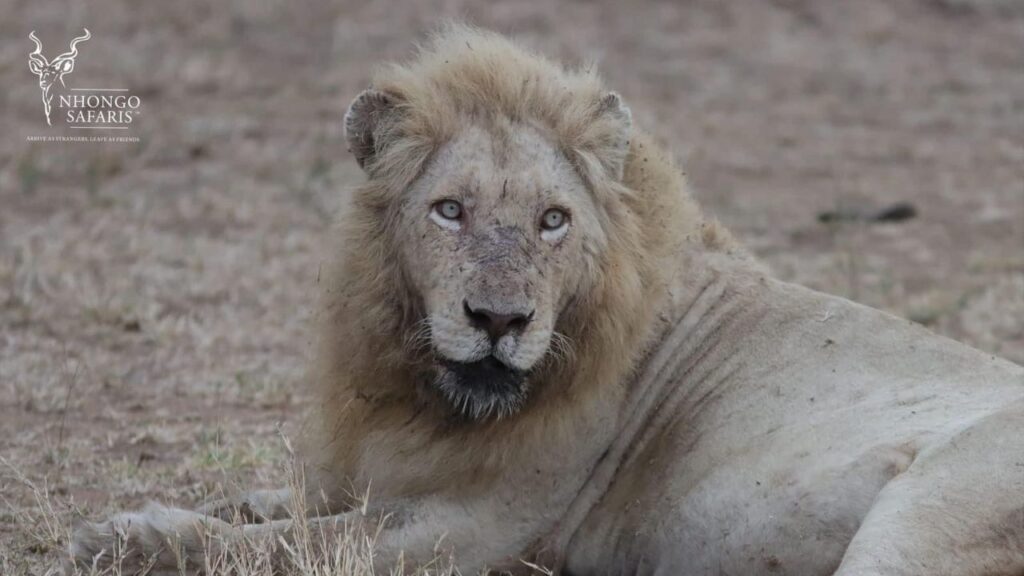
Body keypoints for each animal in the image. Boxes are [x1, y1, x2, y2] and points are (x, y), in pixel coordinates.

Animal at [70, 25, 1024, 575]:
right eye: (450, 210)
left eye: (552, 220)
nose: (499, 321)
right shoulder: (381, 474)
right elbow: (280, 503)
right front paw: (139, 521)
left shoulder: (480, 528)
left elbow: (296, 541)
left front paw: (132, 540)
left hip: (918, 520)